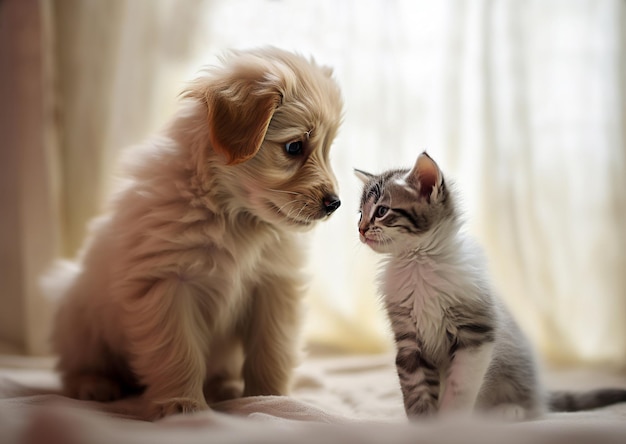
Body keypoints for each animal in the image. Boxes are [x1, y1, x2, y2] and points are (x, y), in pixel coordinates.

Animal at [47, 48, 344, 420]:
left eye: (328, 149)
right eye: (294, 147)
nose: (335, 203)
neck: (234, 217)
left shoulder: (273, 288)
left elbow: (271, 350)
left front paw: (270, 398)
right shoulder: (168, 284)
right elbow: (178, 350)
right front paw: (182, 406)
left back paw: (224, 387)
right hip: (75, 313)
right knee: (80, 363)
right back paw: (94, 384)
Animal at [354, 152, 624, 420]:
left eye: (381, 211)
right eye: (360, 214)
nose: (361, 230)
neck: (418, 263)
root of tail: (540, 393)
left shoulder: (475, 335)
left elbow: (459, 389)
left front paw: (449, 423)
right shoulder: (409, 344)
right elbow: (417, 397)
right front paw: (425, 426)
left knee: (533, 408)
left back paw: (509, 410)